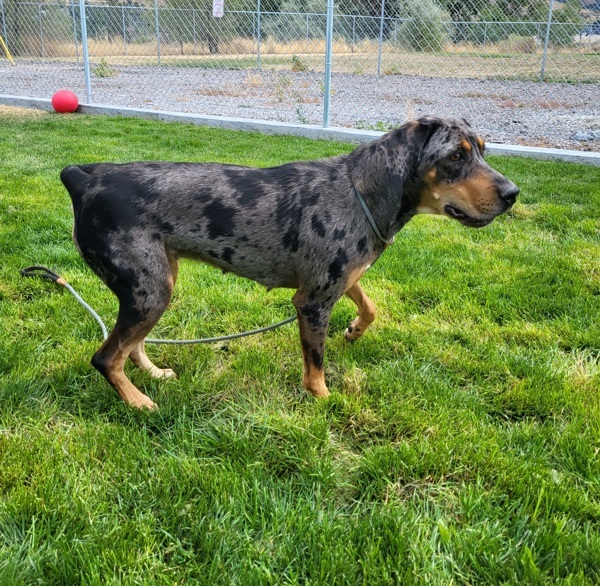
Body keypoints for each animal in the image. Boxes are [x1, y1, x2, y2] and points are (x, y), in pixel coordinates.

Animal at [62, 116, 520, 408]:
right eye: (455, 157)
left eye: (483, 150)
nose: (513, 194)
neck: (361, 192)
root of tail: (82, 178)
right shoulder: (313, 303)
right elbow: (315, 365)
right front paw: (324, 402)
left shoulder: (338, 280)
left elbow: (371, 306)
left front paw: (354, 330)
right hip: (150, 291)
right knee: (106, 357)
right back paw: (139, 402)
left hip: (156, 284)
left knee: (132, 346)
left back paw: (153, 375)